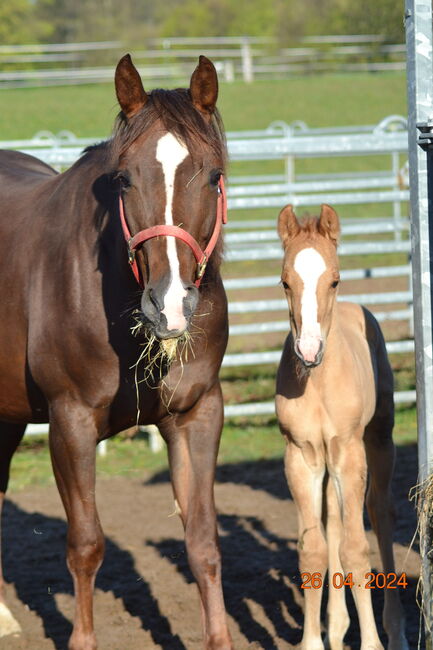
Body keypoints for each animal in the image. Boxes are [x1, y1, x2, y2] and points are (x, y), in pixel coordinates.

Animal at [0, 54, 233, 648]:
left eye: (214, 175)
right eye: (124, 179)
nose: (168, 306)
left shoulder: (198, 414)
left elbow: (203, 541)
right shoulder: (71, 423)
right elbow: (86, 545)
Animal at [276, 205, 406, 648]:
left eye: (334, 279)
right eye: (285, 281)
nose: (309, 350)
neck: (317, 383)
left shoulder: (349, 452)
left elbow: (355, 549)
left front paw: (371, 643)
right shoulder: (301, 456)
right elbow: (313, 550)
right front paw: (314, 641)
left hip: (378, 440)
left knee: (379, 514)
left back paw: (395, 633)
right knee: (333, 522)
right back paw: (336, 626)